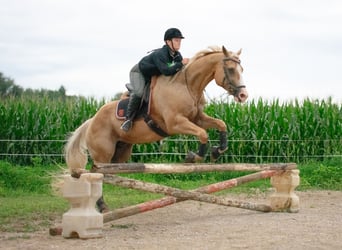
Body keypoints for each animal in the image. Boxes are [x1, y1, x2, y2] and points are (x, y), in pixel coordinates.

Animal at [64, 45, 247, 211]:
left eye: (242, 69)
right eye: (231, 69)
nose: (244, 96)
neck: (187, 85)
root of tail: (91, 120)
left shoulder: (198, 118)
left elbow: (221, 124)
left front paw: (217, 151)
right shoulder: (175, 123)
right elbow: (202, 134)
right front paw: (193, 157)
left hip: (121, 153)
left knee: (107, 173)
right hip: (102, 154)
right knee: (96, 174)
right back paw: (102, 206)